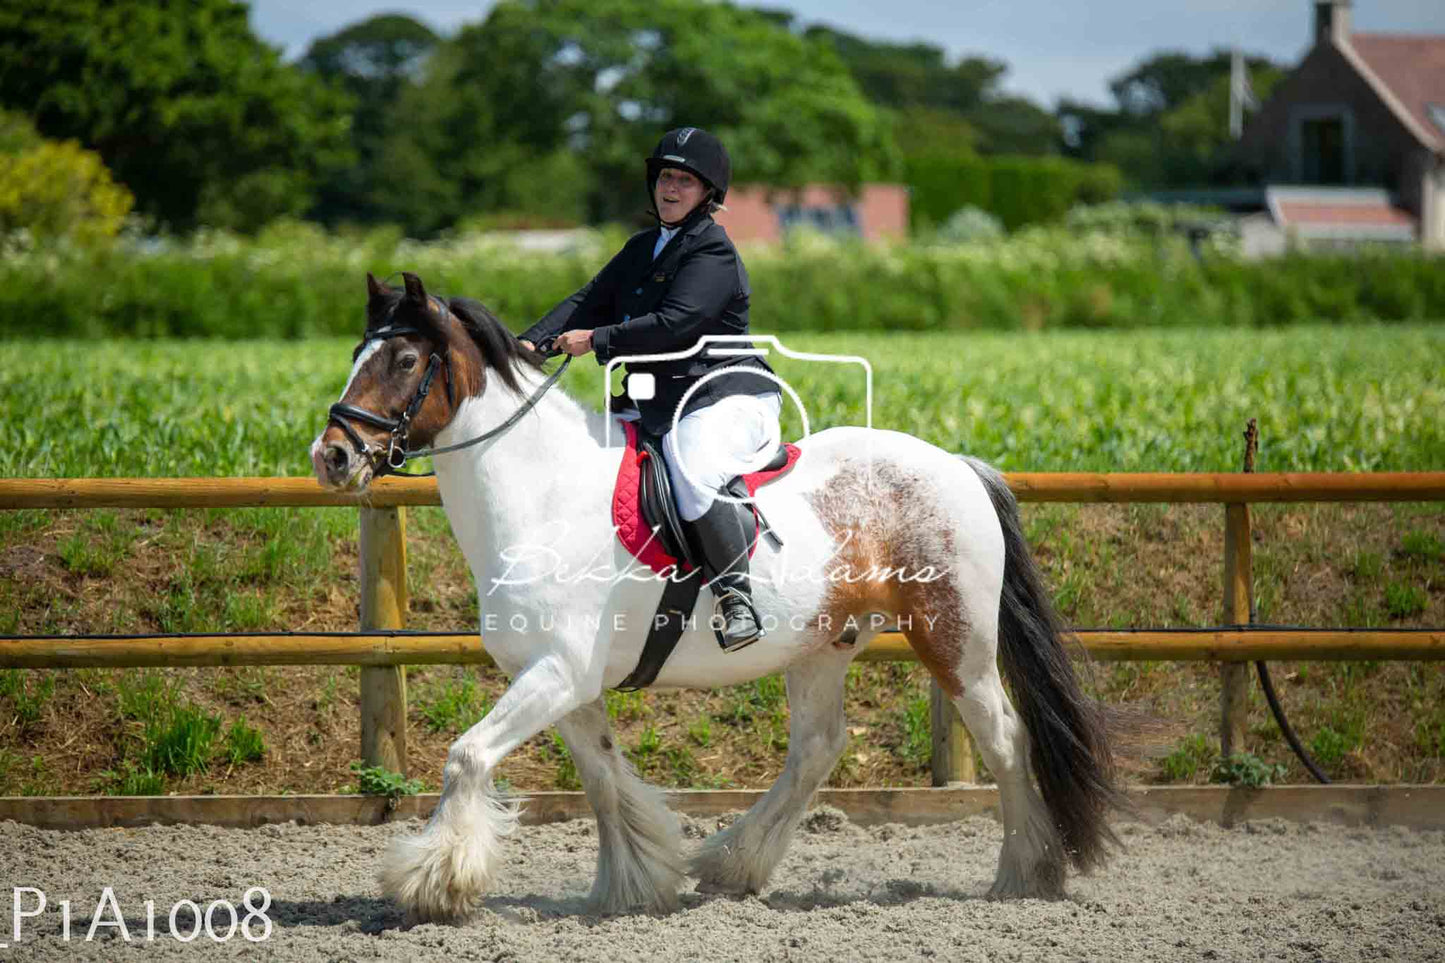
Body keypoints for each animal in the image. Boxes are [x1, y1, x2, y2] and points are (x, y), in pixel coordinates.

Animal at [310, 271, 1121, 925]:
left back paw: (1023, 876)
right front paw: (631, 885)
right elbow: (602, 780)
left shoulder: (557, 673)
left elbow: (467, 756)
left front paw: (433, 882)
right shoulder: (562, 682)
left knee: (1003, 736)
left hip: (953, 638)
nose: (333, 456)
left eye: (404, 360)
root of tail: (956, 463)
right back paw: (734, 866)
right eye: (354, 355)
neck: (542, 497)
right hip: (822, 644)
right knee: (818, 746)